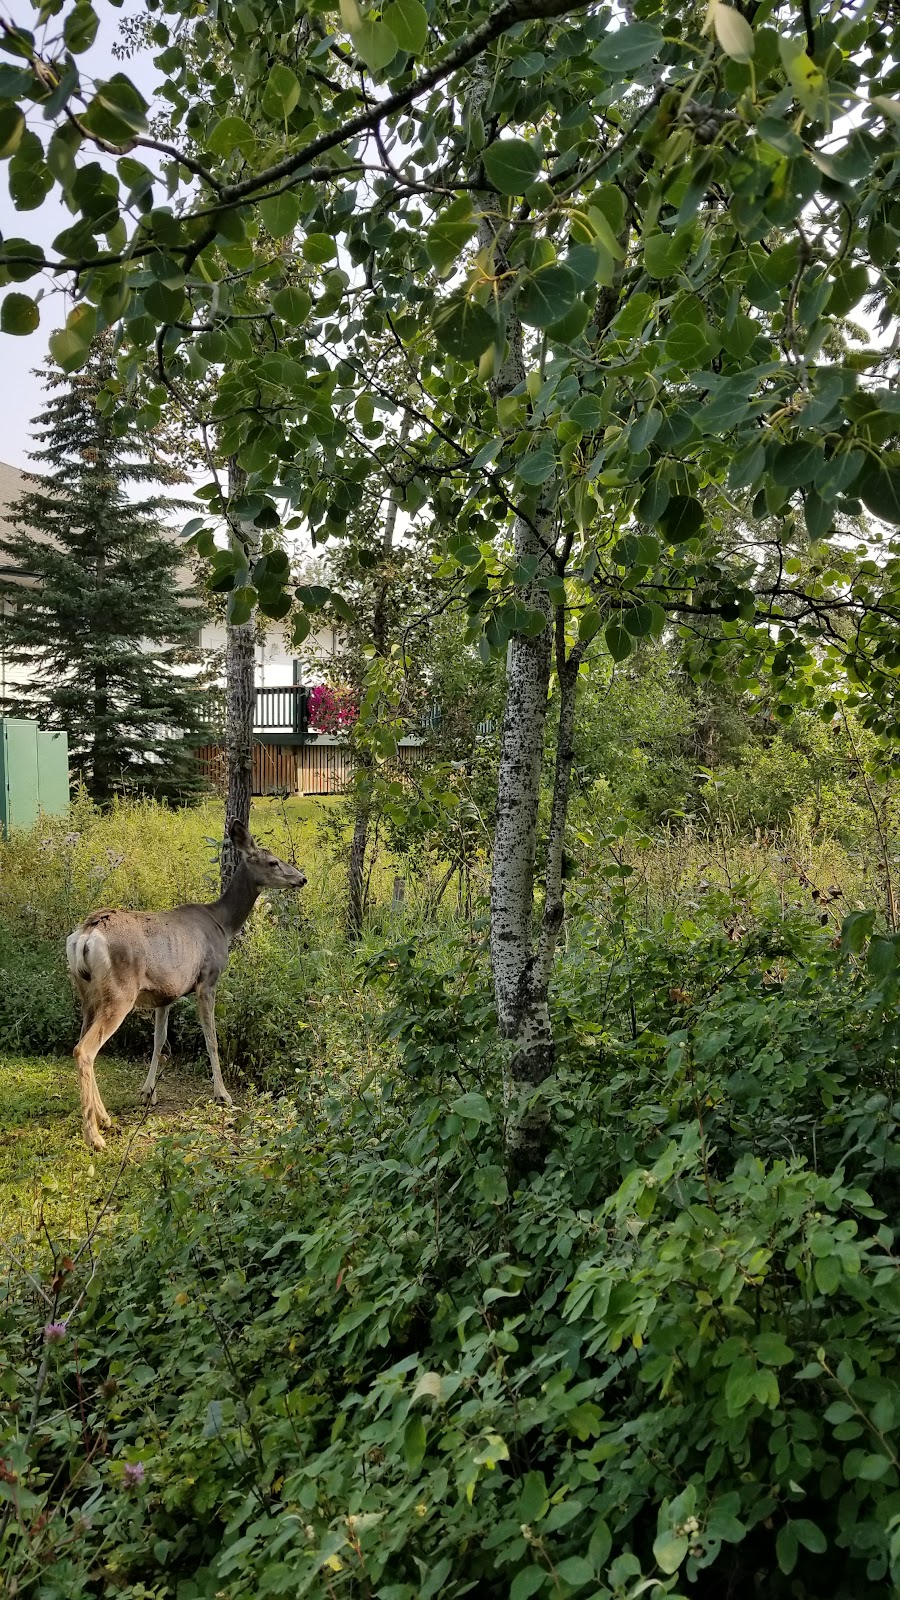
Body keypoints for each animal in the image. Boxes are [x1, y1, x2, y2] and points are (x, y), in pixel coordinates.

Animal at [64, 825, 305, 1152]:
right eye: (272, 862)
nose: (302, 878)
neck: (223, 924)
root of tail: (86, 935)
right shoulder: (207, 980)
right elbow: (211, 1040)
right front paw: (222, 1094)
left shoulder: (165, 994)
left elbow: (158, 1042)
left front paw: (148, 1092)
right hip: (119, 994)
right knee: (85, 1050)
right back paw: (95, 1136)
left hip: (87, 995)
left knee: (83, 1045)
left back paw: (104, 1118)